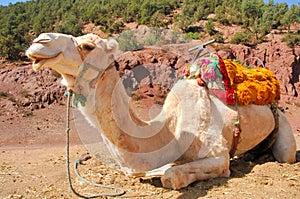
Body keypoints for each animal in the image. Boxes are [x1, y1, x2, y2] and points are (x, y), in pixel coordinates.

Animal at [26, 33, 298, 190]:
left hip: (284, 128)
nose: (39, 42)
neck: (171, 129)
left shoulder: (219, 156)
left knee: (285, 154)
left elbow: (171, 176)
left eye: (87, 46)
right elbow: (141, 169)